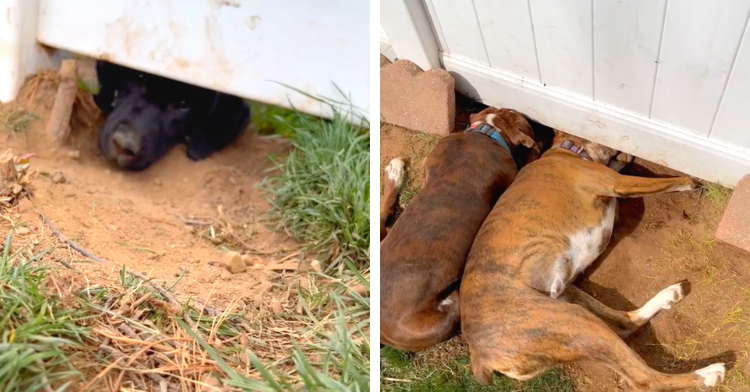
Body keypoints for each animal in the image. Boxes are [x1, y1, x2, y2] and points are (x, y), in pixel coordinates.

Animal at [462, 132, 724, 392]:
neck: (569, 149)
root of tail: (479, 356)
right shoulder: (619, 183)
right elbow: (669, 181)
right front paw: (691, 181)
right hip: (570, 321)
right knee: (645, 380)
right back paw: (708, 374)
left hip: (571, 297)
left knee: (626, 322)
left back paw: (669, 295)